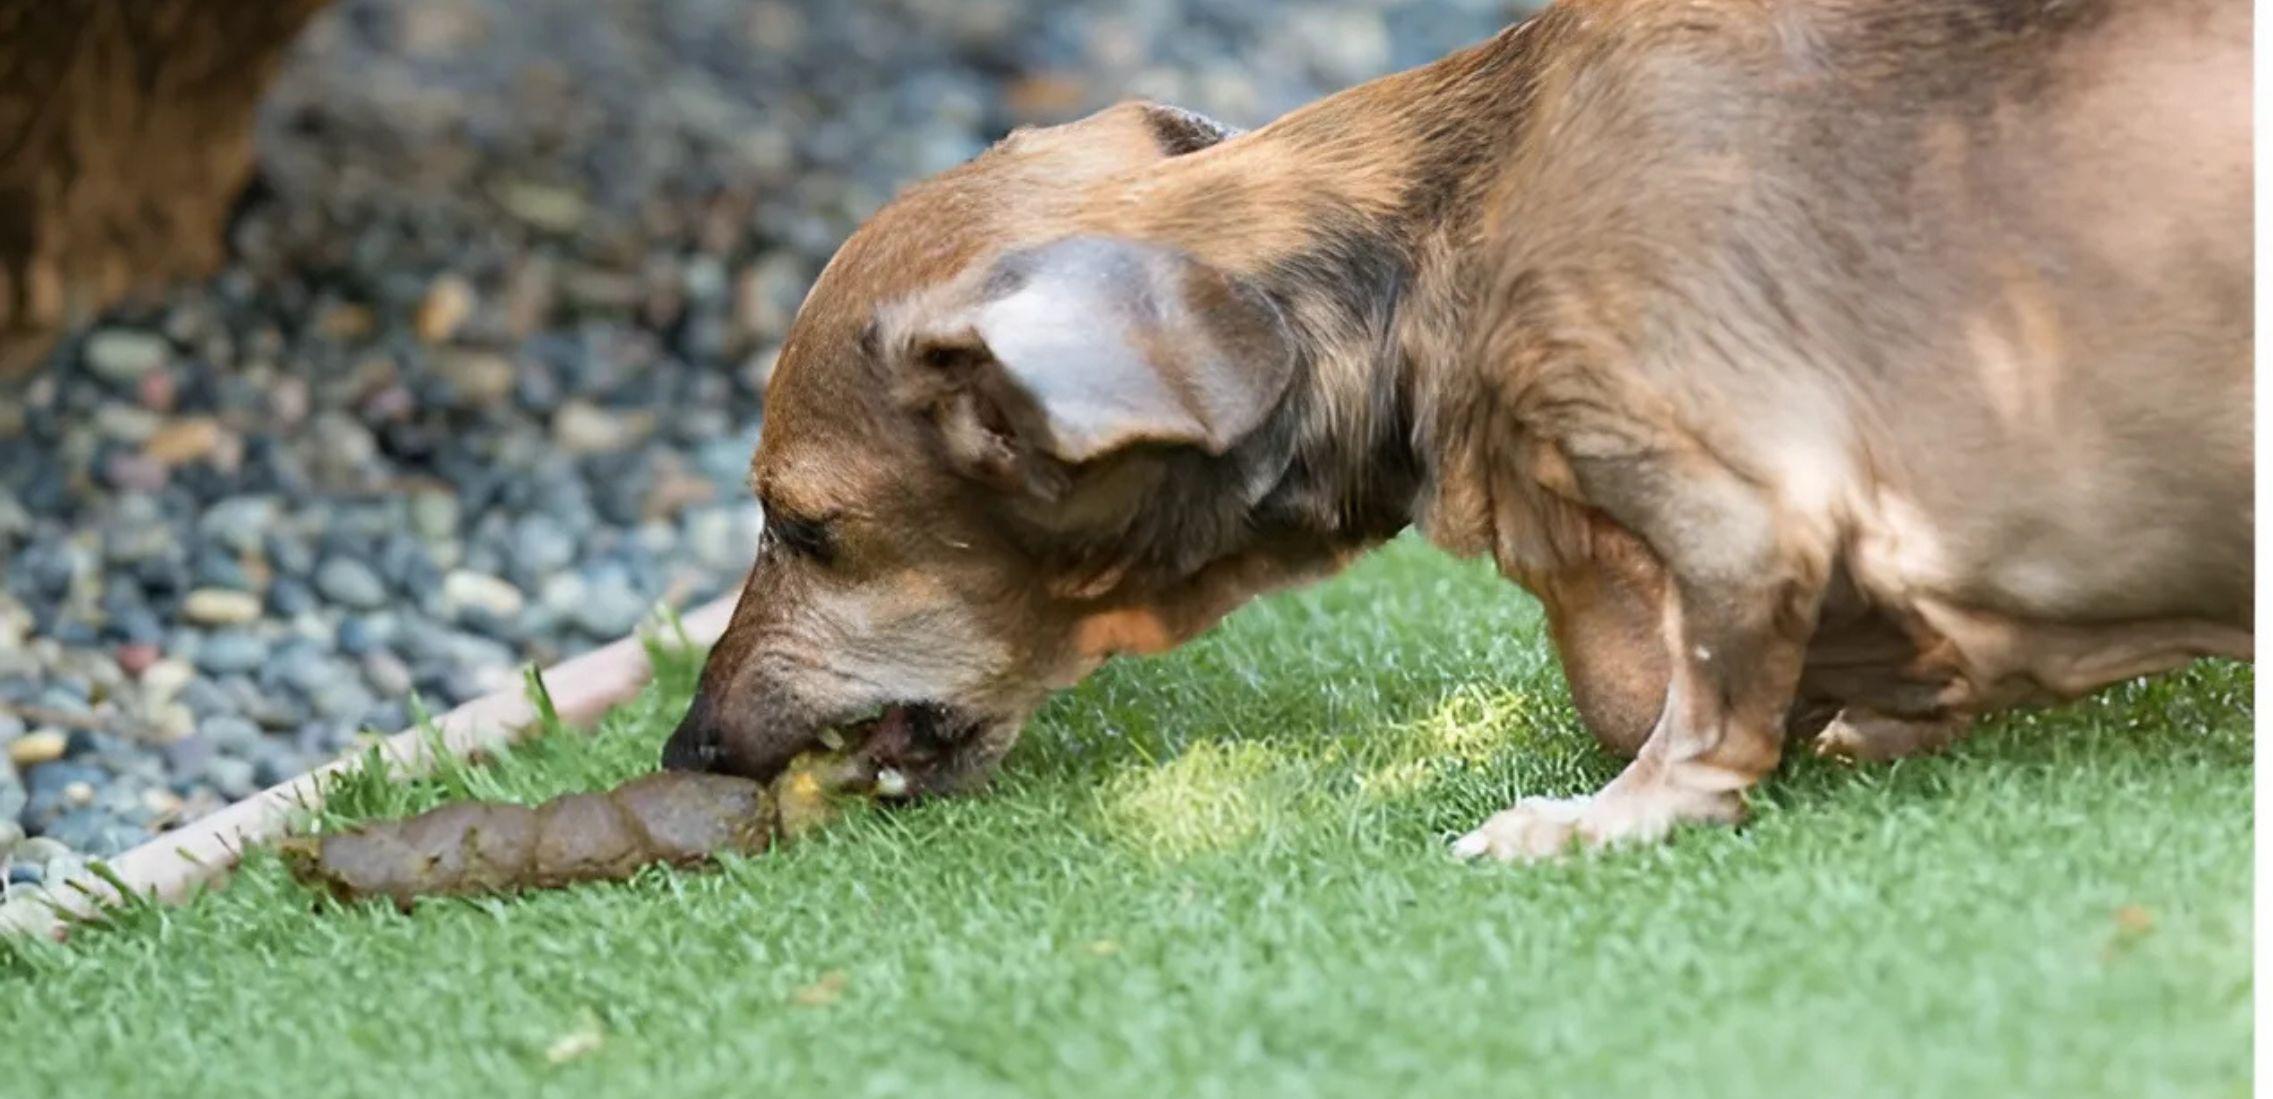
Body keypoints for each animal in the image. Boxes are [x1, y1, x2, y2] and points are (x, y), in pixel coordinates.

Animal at [663, 0, 2254, 858]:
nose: (690, 743)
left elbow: (1683, 717)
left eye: (802, 526)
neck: (1452, 223)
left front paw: (1590, 817)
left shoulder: (1737, 506)